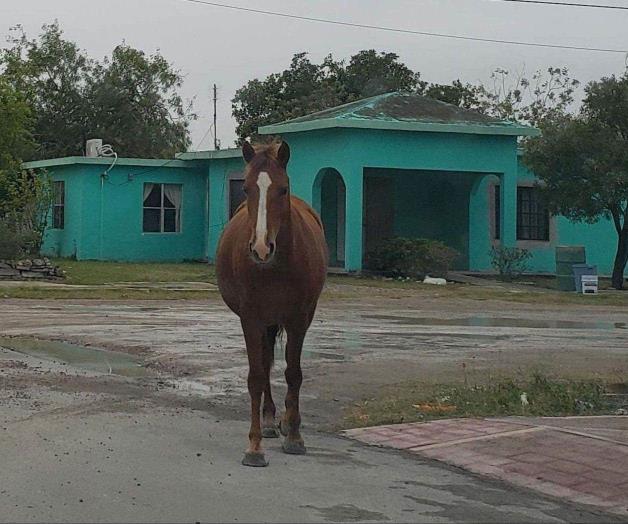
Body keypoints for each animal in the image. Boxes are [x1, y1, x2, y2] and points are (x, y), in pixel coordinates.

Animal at [216, 138, 328, 466]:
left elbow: (294, 373)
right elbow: (256, 375)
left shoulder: (299, 318)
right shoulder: (251, 318)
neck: (277, 266)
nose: (261, 247)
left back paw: (286, 423)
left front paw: (295, 436)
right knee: (265, 364)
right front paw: (254, 447)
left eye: (282, 189)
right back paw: (267, 422)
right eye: (246, 189)